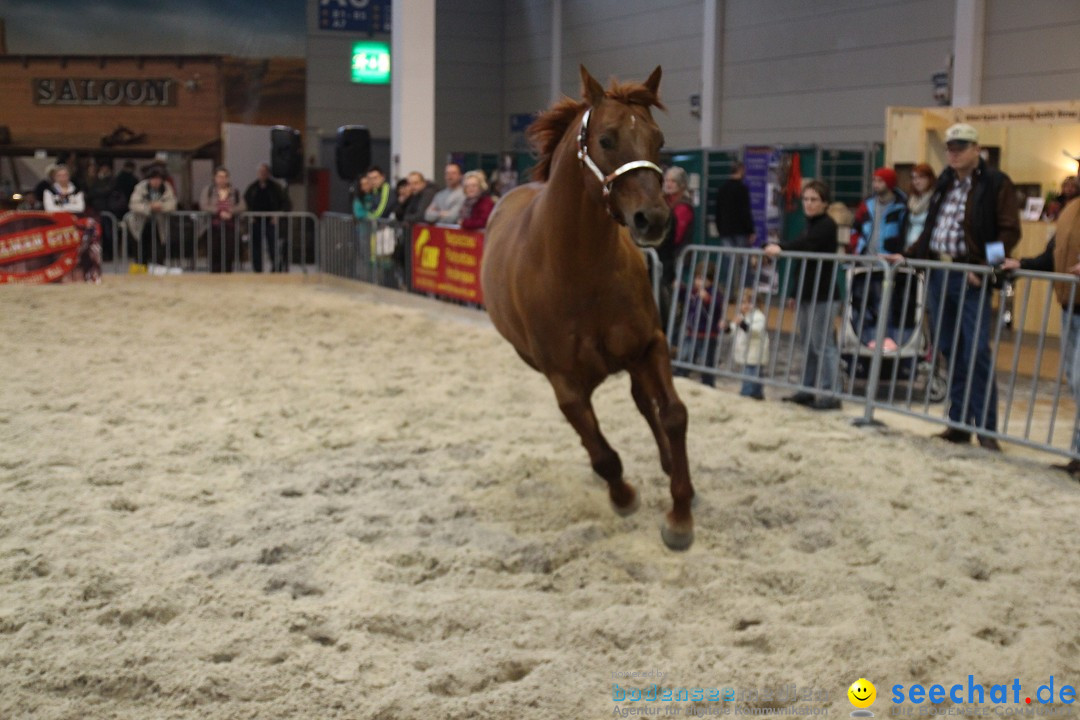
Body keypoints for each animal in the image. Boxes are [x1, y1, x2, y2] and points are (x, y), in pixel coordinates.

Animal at [479, 67, 695, 552]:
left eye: (659, 139)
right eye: (607, 139)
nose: (654, 219)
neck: (578, 269)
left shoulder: (650, 345)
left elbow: (673, 414)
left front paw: (680, 514)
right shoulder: (564, 381)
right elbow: (602, 453)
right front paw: (624, 496)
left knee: (645, 405)